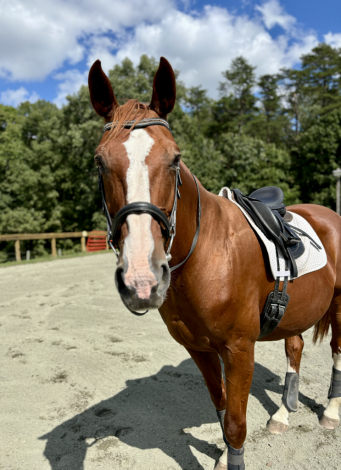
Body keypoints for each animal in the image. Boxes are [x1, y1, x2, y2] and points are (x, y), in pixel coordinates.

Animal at [87, 57, 340, 468]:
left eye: (175, 158)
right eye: (99, 161)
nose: (142, 278)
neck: (207, 255)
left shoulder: (239, 349)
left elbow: (236, 422)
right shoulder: (200, 350)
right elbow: (222, 410)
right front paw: (223, 455)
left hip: (339, 304)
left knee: (336, 350)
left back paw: (331, 410)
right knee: (295, 346)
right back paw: (283, 413)